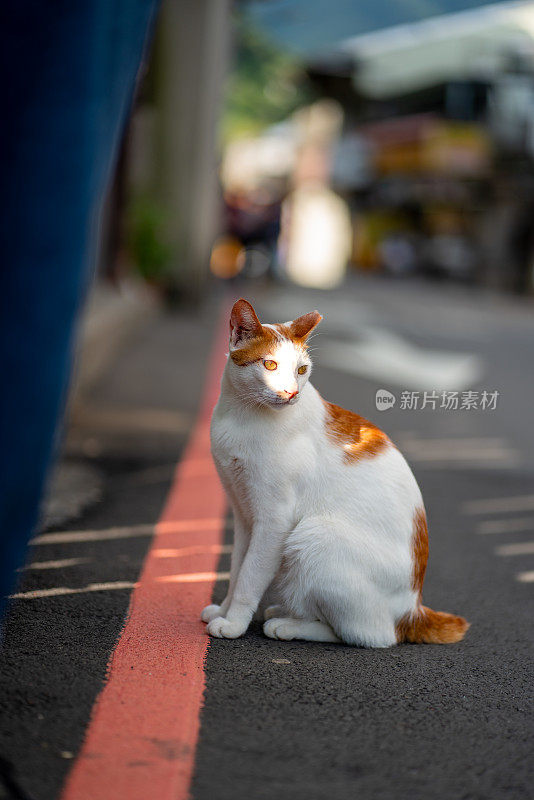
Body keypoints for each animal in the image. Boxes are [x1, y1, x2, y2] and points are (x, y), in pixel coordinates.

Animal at [203, 296, 472, 648]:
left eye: (302, 370)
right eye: (270, 365)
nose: (292, 393)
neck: (241, 416)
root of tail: (413, 611)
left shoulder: (274, 520)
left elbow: (250, 576)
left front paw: (233, 623)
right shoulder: (243, 514)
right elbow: (236, 569)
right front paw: (223, 609)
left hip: (314, 534)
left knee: (368, 634)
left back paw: (288, 625)